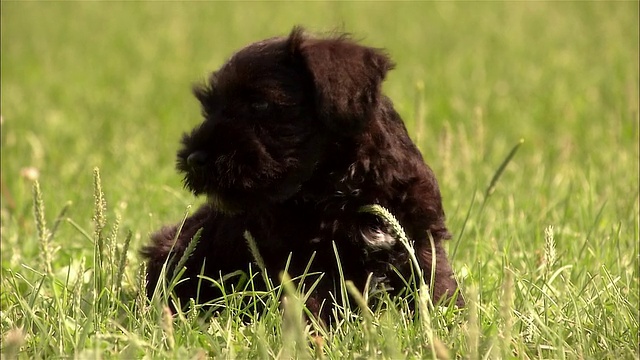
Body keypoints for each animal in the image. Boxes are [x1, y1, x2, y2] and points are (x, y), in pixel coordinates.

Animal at [142, 26, 464, 322]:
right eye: (209, 109)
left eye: (259, 103)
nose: (194, 159)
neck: (344, 183)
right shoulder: (304, 262)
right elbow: (312, 306)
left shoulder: (422, 243)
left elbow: (437, 288)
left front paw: (447, 324)